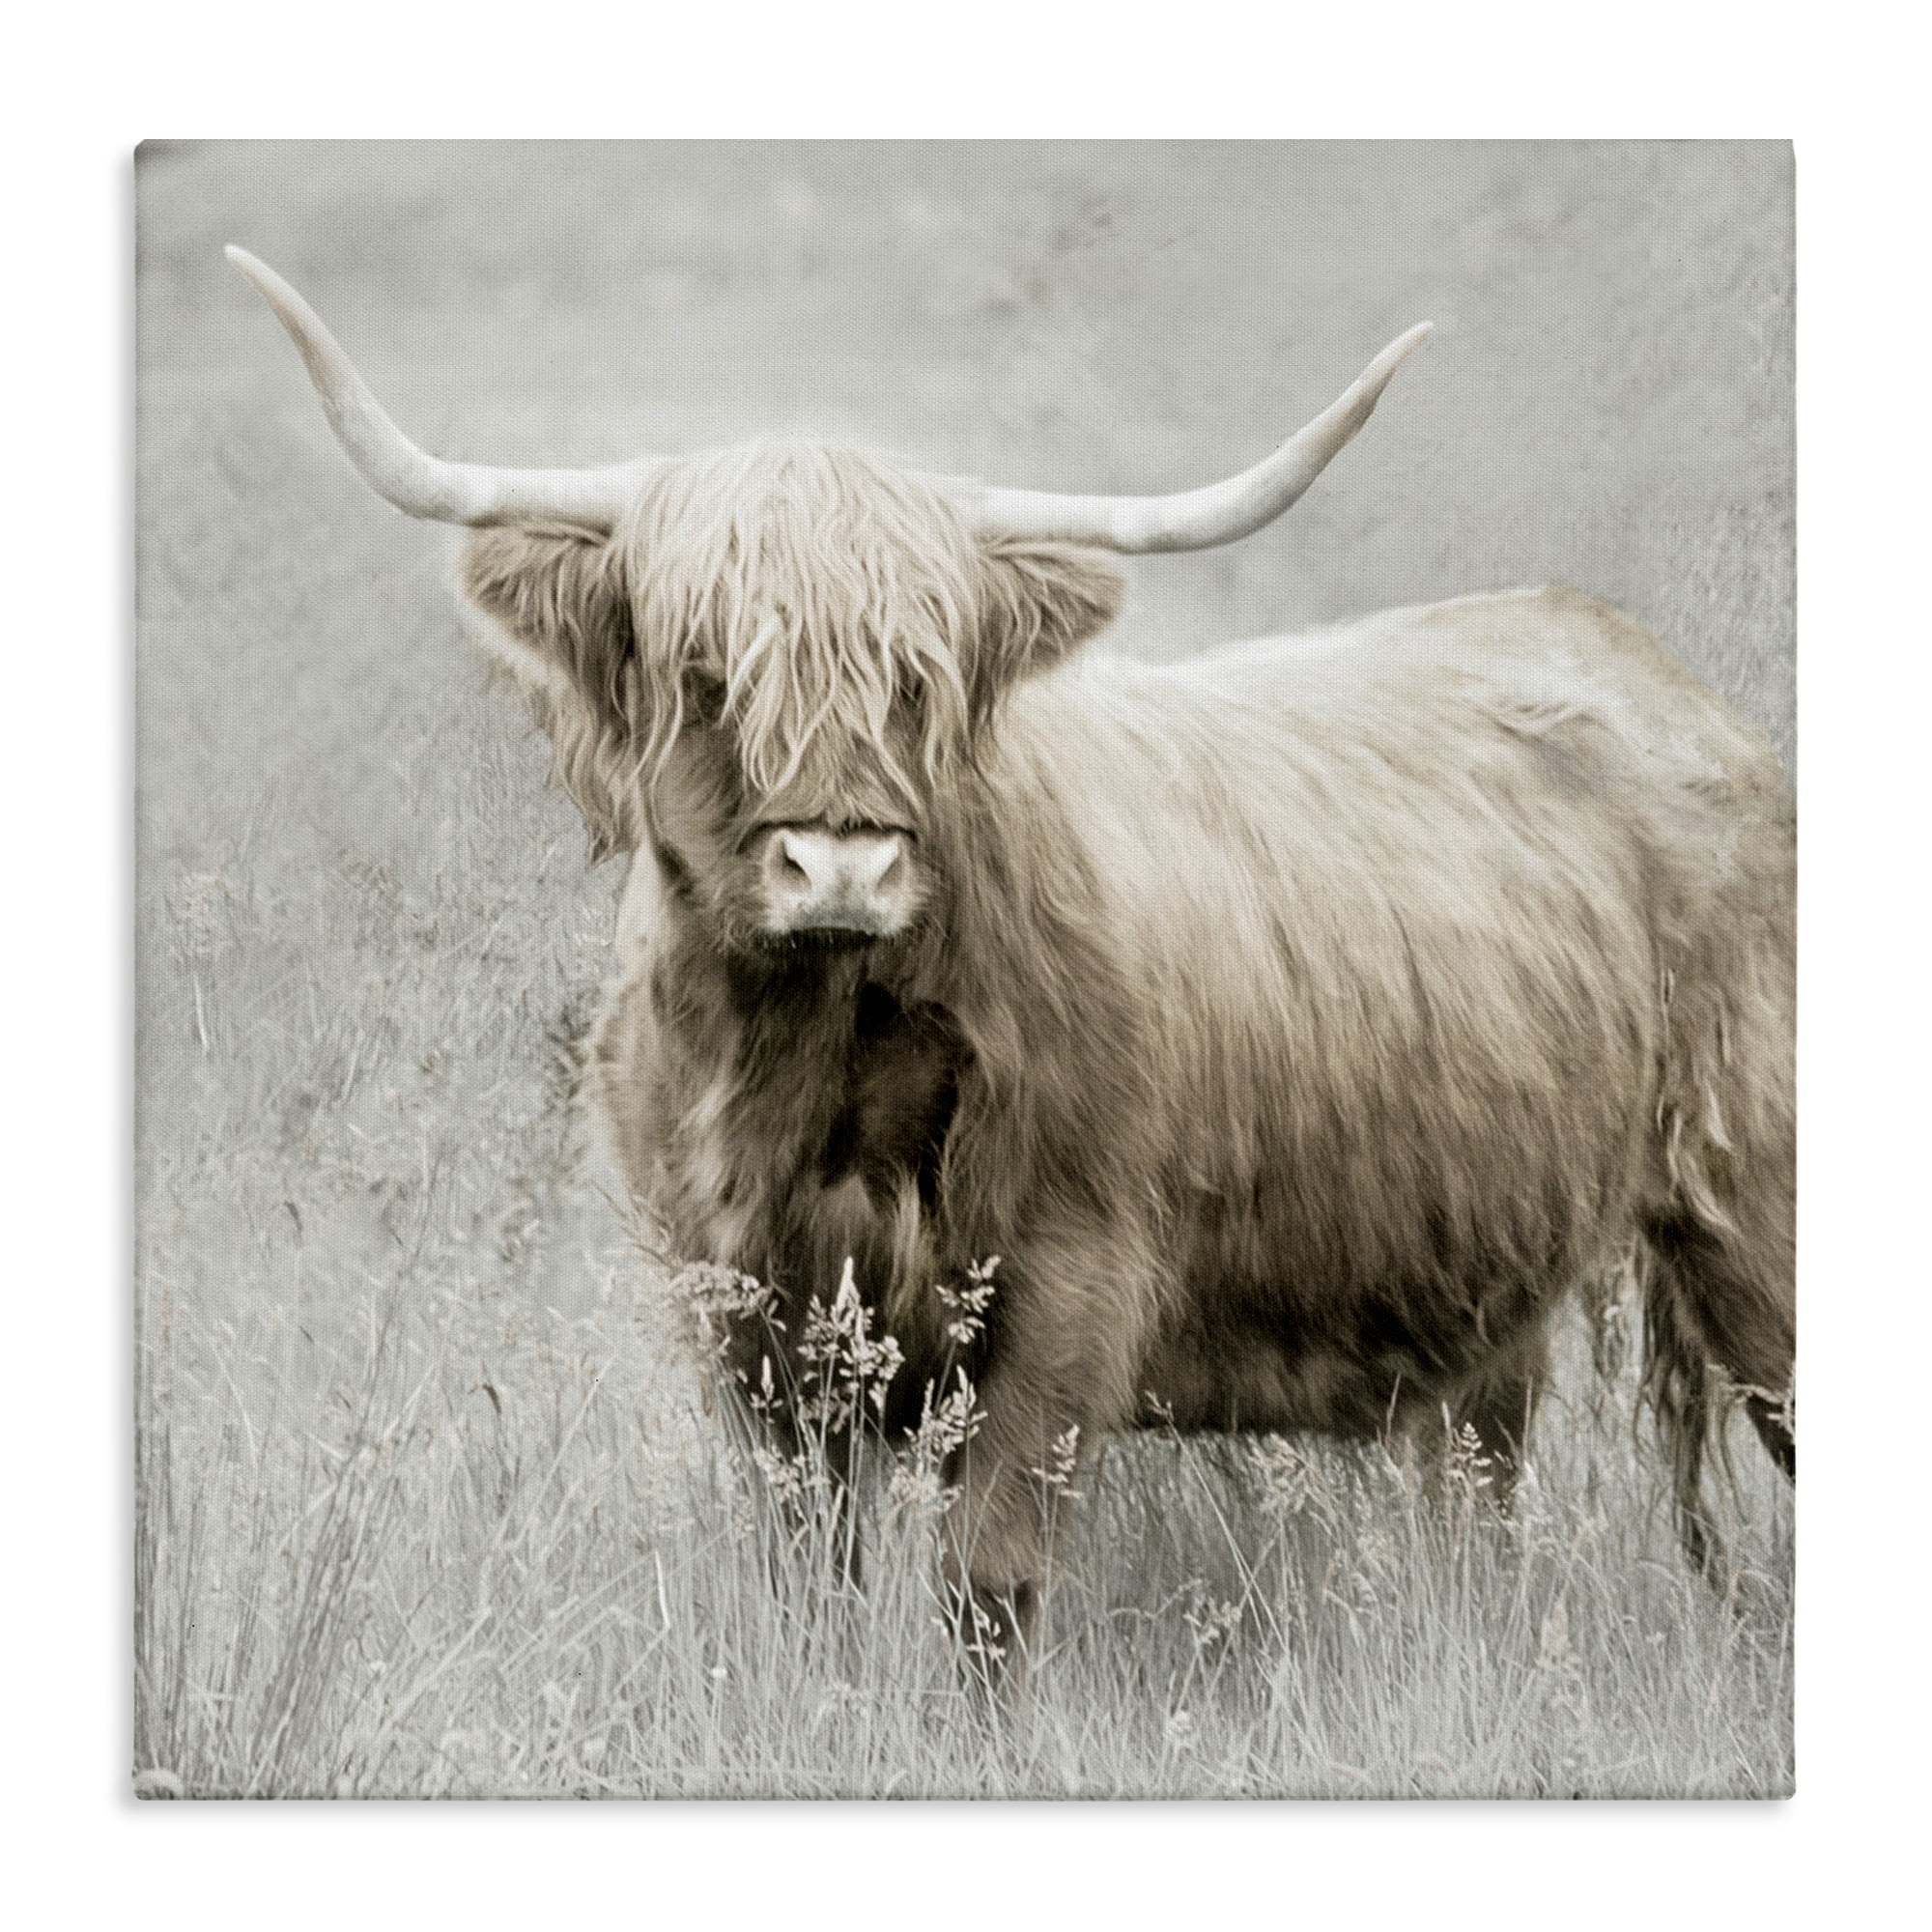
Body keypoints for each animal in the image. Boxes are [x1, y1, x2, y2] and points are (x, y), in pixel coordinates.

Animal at [227, 246, 1795, 1658]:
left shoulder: (1067, 1286)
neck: (810, 1066)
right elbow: (805, 1578)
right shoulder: (742, 1317)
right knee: (1480, 1481)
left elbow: (986, 1585)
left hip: (1751, 1201)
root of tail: (1663, 680)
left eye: (918, 679)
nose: (840, 866)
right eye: (707, 671)